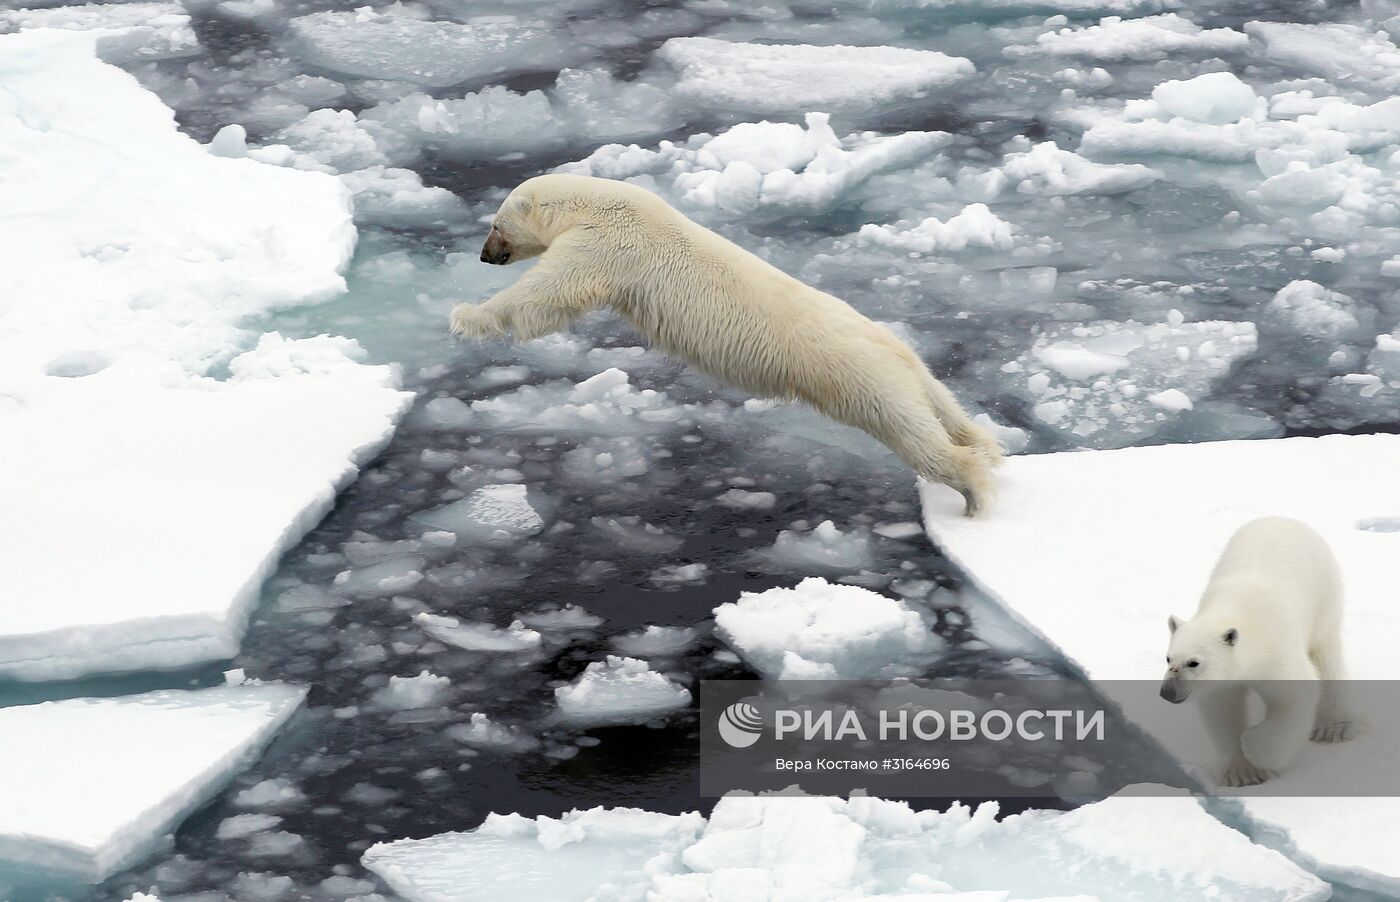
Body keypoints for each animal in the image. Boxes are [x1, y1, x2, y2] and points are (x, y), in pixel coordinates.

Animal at [448, 176, 996, 515]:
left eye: (495, 224)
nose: (484, 256)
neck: (599, 202)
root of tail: (899, 351)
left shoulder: (606, 243)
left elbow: (547, 292)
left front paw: (465, 316)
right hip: (908, 372)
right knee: (948, 412)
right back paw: (986, 449)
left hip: (861, 378)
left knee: (912, 434)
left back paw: (973, 494)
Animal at [1159, 518, 1355, 784]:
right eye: (1168, 658)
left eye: (1193, 663)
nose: (1167, 692)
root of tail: (1284, 518)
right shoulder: (1223, 682)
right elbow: (1223, 710)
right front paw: (1242, 774)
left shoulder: (1278, 653)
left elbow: (1294, 698)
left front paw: (1254, 746)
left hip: (1325, 597)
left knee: (1326, 656)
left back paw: (1333, 727)